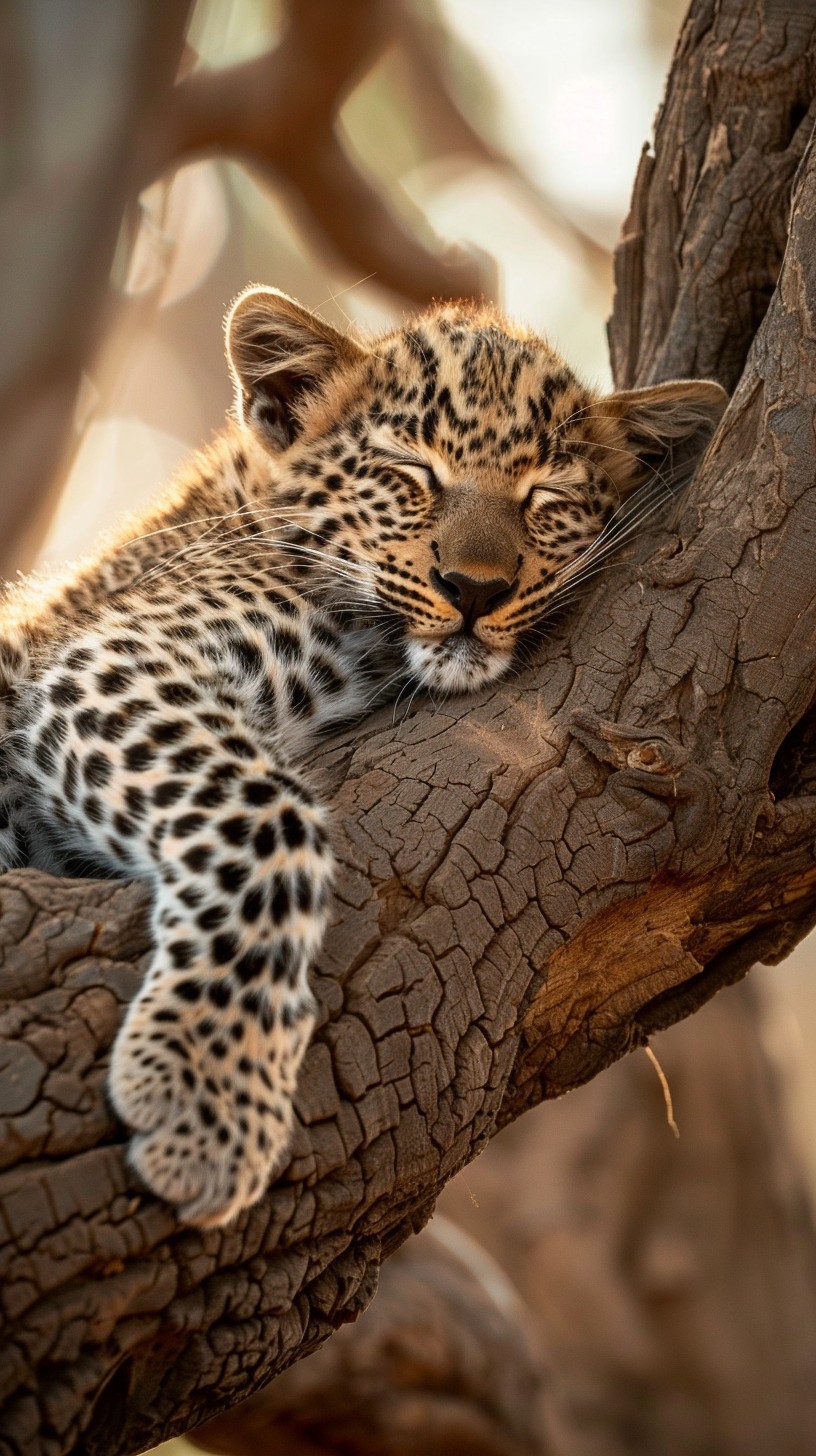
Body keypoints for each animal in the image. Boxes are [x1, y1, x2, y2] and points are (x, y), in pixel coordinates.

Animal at [0, 287, 726, 1225]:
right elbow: (270, 819)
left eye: (546, 495)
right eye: (413, 474)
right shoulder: (115, 662)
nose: (476, 589)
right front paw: (206, 1094)